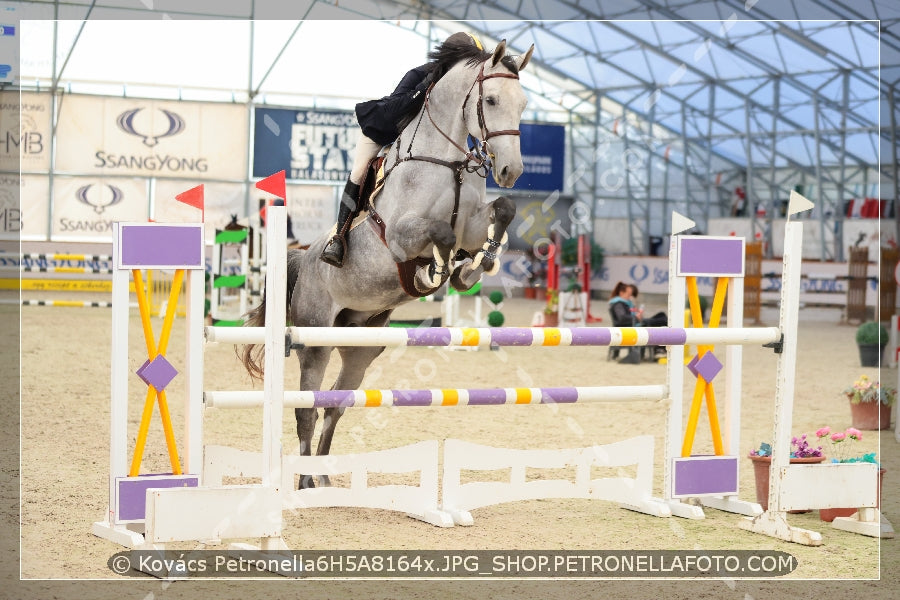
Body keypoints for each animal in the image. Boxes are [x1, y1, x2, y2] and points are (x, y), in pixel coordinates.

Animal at [241, 38, 536, 488]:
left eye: (523, 104)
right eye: (490, 100)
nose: (510, 170)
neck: (447, 162)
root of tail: (303, 261)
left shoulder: (472, 223)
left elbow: (500, 211)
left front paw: (473, 267)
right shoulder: (399, 235)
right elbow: (440, 236)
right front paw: (435, 271)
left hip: (361, 345)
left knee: (335, 405)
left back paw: (323, 481)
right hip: (316, 339)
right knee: (308, 408)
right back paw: (305, 482)